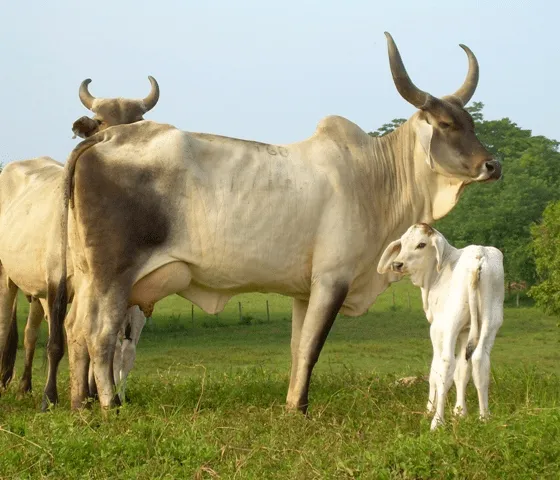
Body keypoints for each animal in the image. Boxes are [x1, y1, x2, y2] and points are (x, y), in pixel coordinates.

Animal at [0, 79, 160, 404]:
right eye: (100, 122)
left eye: (137, 122)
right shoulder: (55, 283)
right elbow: (56, 343)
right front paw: (50, 398)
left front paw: (92, 394)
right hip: (7, 278)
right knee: (6, 328)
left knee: (29, 333)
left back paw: (25, 385)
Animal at [51, 32, 498, 412]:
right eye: (446, 124)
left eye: (472, 124)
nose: (492, 165)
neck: (374, 176)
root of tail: (106, 138)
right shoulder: (332, 280)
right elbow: (313, 348)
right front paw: (299, 408)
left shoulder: (305, 291)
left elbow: (298, 347)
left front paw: (290, 403)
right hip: (113, 274)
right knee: (99, 332)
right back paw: (109, 404)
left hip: (88, 274)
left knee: (74, 329)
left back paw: (80, 405)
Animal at [378, 223, 506, 430]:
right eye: (403, 242)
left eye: (421, 244)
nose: (397, 264)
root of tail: (478, 256)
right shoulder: (466, 331)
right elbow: (462, 370)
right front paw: (460, 412)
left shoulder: (438, 330)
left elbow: (435, 371)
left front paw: (431, 409)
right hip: (490, 321)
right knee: (479, 360)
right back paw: (484, 417)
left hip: (449, 325)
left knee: (446, 364)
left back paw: (437, 421)